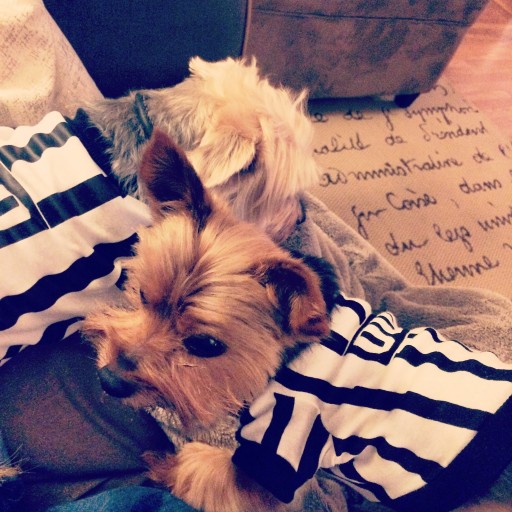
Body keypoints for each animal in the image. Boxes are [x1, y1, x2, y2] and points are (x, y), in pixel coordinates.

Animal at [83, 131, 512, 512]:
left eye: (205, 345)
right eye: (141, 295)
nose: (108, 379)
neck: (287, 358)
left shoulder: (280, 444)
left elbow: (201, 469)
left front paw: (163, 465)